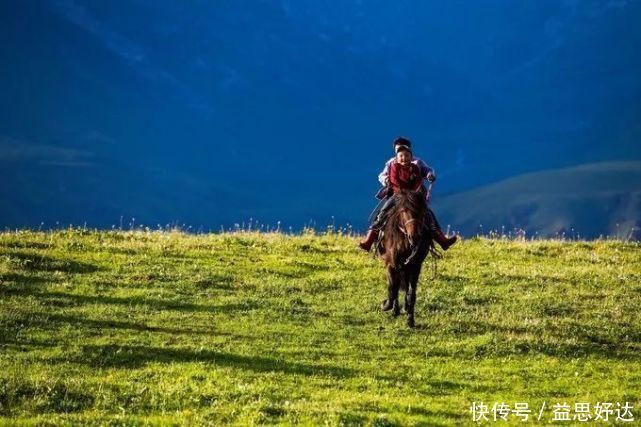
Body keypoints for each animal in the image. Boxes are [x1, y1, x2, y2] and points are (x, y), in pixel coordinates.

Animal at [376, 190, 436, 328]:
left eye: (422, 211)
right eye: (404, 211)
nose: (414, 236)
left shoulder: (415, 266)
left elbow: (411, 293)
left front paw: (410, 319)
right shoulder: (392, 263)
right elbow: (393, 287)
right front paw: (388, 306)